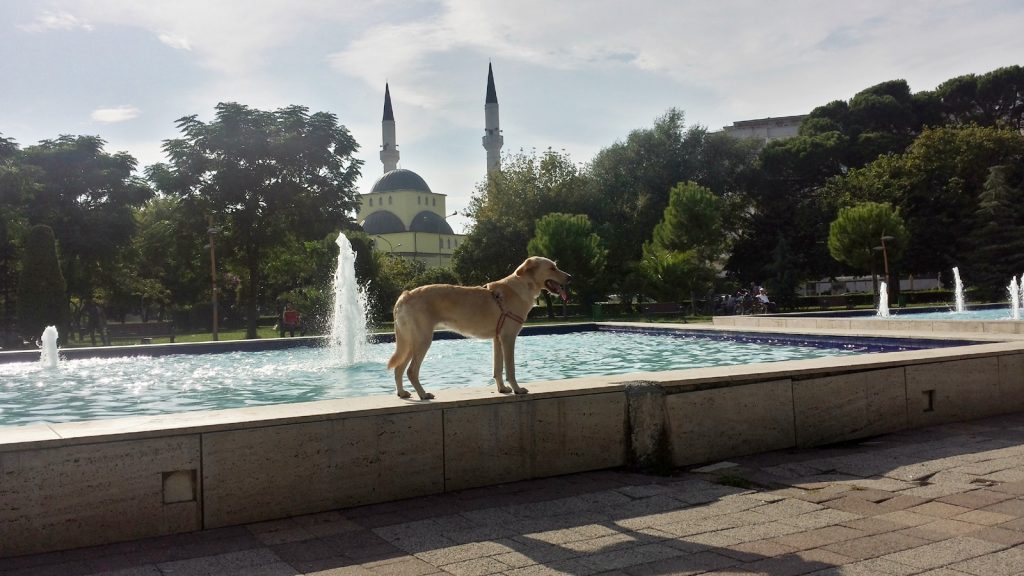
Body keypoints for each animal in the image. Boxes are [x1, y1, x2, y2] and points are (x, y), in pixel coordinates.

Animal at [387, 256, 573, 397]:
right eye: (552, 268)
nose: (570, 277)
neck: (522, 286)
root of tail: (405, 295)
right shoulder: (508, 338)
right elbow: (510, 369)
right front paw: (517, 389)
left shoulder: (498, 339)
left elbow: (498, 368)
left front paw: (502, 389)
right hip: (423, 340)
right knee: (411, 371)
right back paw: (423, 394)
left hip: (410, 343)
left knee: (398, 368)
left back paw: (402, 393)